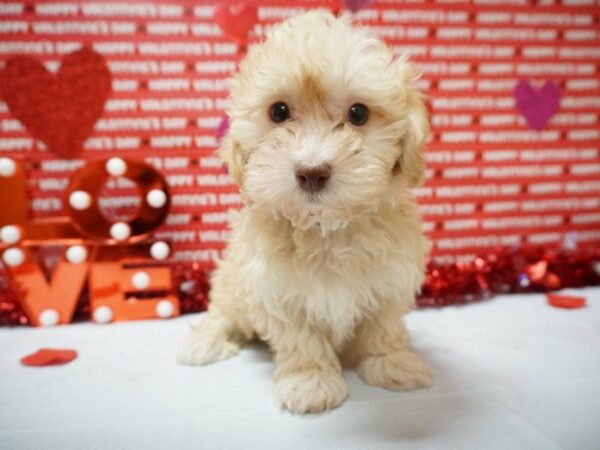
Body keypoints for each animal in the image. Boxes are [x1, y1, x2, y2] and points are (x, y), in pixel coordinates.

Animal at [176, 9, 434, 414]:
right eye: (279, 111)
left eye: (358, 113)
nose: (312, 172)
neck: (326, 228)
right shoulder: (273, 289)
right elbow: (302, 340)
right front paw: (309, 382)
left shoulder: (392, 278)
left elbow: (384, 325)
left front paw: (392, 363)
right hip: (232, 279)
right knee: (222, 310)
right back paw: (204, 341)